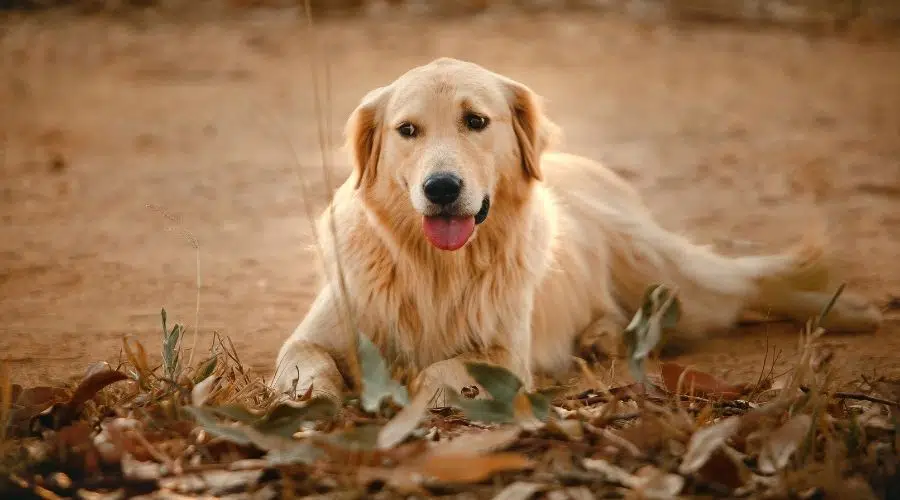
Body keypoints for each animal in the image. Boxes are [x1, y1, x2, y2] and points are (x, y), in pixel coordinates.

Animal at [270, 56, 884, 404]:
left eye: (476, 121)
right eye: (407, 130)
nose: (441, 188)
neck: (434, 265)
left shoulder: (507, 355)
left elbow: (444, 367)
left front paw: (413, 389)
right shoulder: (318, 331)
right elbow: (302, 363)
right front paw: (311, 397)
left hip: (660, 267)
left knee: (739, 286)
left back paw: (850, 311)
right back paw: (603, 335)